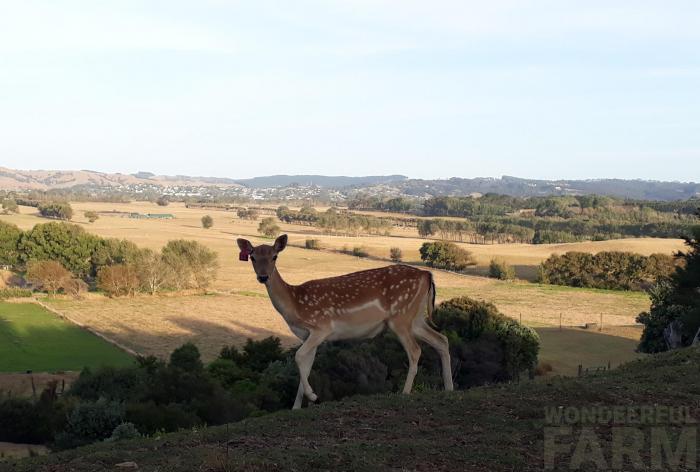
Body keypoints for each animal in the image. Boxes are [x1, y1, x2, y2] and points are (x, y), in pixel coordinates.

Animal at [237, 234, 454, 409]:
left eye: (274, 256)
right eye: (252, 257)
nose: (263, 276)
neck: (295, 304)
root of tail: (427, 275)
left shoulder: (322, 326)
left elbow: (298, 357)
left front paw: (314, 396)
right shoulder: (308, 336)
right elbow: (306, 366)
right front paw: (297, 407)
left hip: (400, 316)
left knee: (416, 350)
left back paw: (405, 392)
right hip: (415, 318)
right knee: (441, 340)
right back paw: (449, 389)